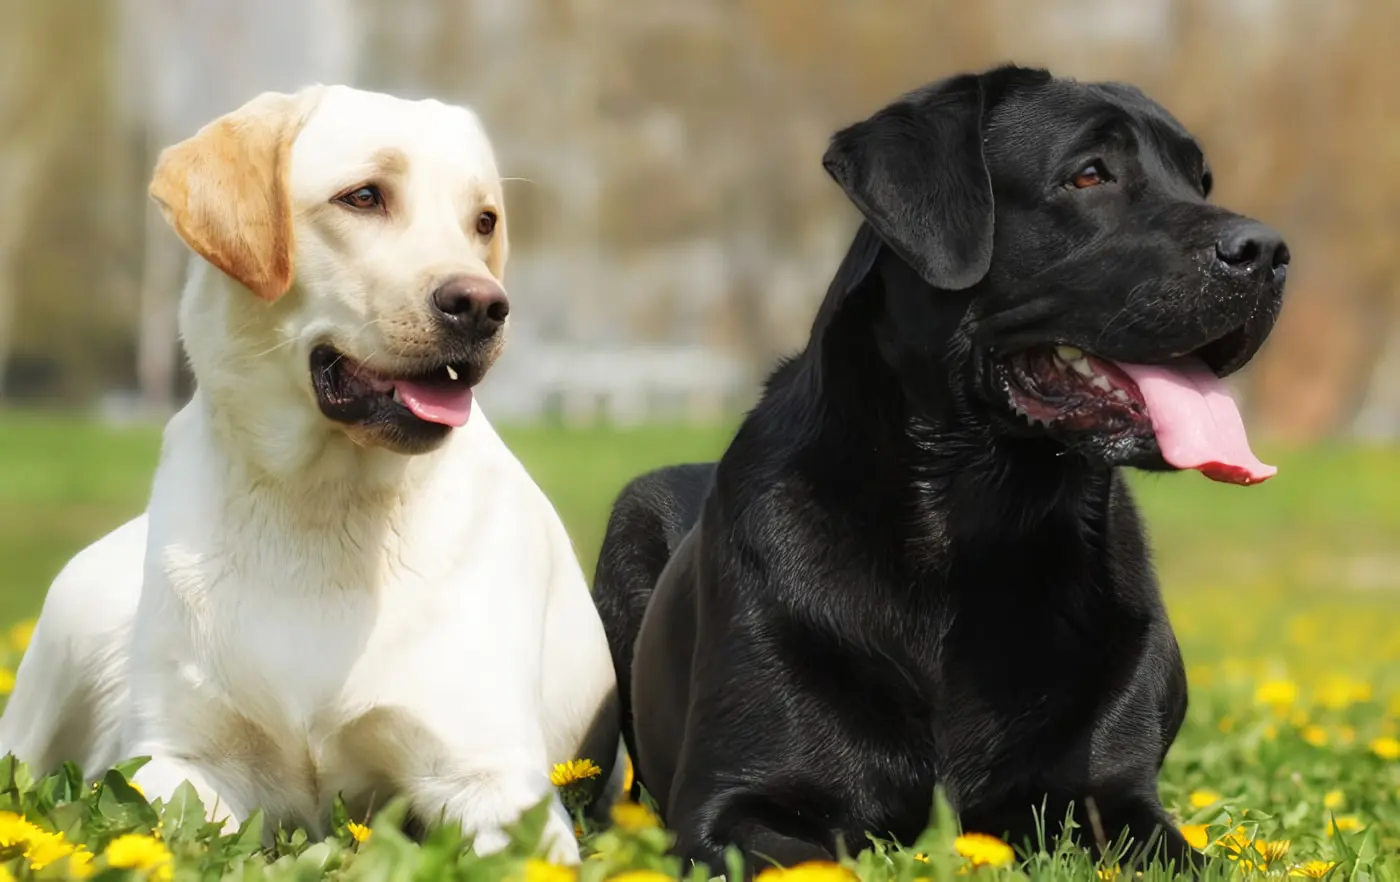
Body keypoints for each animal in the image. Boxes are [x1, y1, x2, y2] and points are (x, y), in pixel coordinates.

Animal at [0, 84, 618, 862]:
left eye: (483, 221)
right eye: (364, 196)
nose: (483, 305)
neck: (319, 504)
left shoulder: (491, 776)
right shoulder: (180, 760)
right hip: (67, 628)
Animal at [590, 65, 1288, 873]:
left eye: (1200, 181)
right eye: (1090, 174)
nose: (1270, 251)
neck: (978, 525)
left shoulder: (1116, 799)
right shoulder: (729, 807)